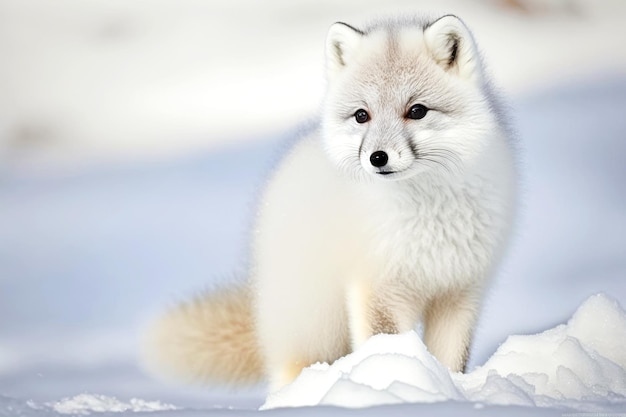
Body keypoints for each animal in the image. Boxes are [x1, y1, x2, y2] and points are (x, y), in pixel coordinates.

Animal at [144, 14, 516, 392]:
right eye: (362, 115)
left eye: (417, 111)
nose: (377, 158)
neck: (429, 217)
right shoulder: (378, 289)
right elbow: (388, 345)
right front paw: (395, 384)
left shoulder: (460, 292)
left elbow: (452, 361)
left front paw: (450, 392)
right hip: (314, 328)